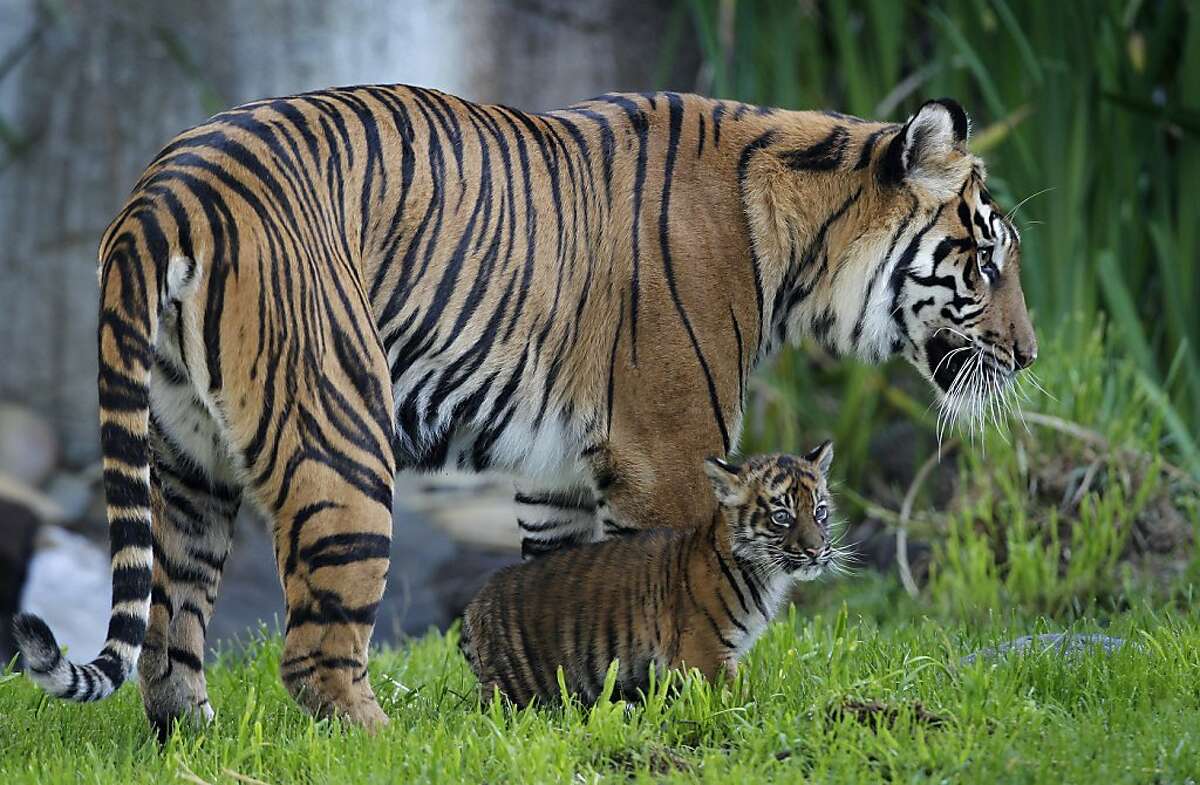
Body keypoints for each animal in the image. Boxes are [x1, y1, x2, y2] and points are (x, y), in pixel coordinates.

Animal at [11, 89, 1032, 734]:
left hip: (186, 462)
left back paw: (197, 740)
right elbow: (675, 584)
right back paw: (390, 747)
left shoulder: (559, 472)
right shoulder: (671, 449)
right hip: (342, 438)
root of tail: (163, 191)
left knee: (167, 641)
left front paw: (568, 712)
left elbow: (567, 590)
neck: (798, 233)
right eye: (986, 263)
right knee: (314, 654)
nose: (1027, 355)